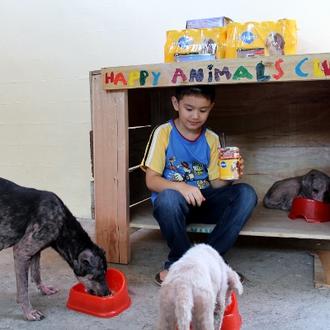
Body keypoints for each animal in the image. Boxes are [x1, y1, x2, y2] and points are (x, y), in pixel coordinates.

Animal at [0, 178, 111, 320]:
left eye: (106, 273)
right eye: (94, 277)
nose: (108, 294)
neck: (63, 222)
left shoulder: (35, 251)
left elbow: (36, 273)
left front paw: (44, 290)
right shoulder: (21, 251)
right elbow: (23, 289)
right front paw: (29, 312)